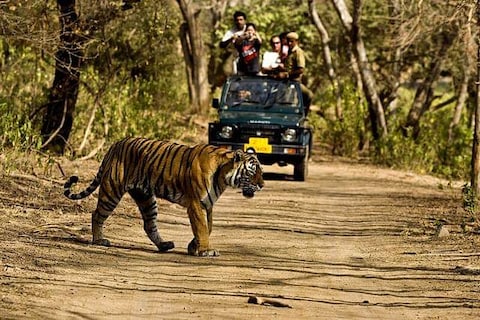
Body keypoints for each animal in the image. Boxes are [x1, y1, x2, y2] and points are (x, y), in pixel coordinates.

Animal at [63, 136, 262, 256]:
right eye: (252, 171)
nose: (262, 185)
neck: (223, 176)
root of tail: (115, 144)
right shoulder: (196, 204)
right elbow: (202, 228)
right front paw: (205, 250)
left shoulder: (208, 205)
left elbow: (208, 227)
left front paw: (194, 247)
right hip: (112, 190)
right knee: (97, 214)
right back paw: (99, 240)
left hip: (146, 198)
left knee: (149, 225)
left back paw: (164, 245)